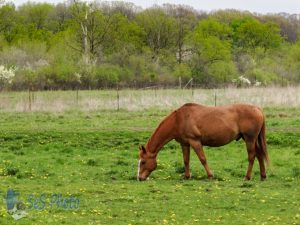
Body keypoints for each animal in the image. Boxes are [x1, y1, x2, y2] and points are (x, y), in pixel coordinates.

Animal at [137, 103, 268, 181]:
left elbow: (203, 159)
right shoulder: (184, 144)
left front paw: (210, 175)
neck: (179, 119)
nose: (139, 178)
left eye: (143, 162)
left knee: (252, 156)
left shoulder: (195, 141)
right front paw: (187, 176)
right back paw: (263, 176)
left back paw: (247, 177)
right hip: (251, 140)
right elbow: (186, 160)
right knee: (259, 155)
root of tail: (258, 109)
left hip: (249, 139)